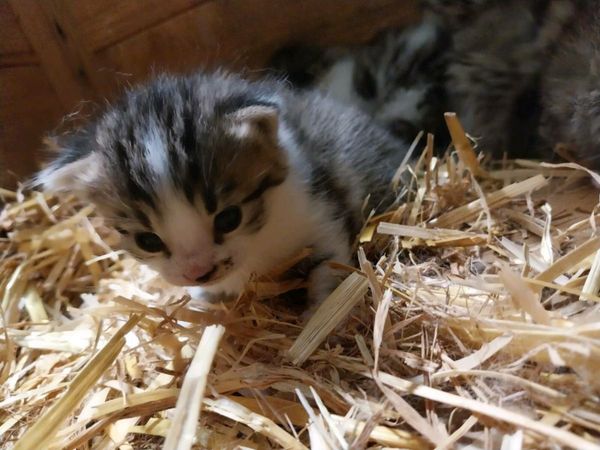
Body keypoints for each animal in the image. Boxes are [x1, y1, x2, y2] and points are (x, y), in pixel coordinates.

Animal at [35, 71, 408, 306]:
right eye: (148, 241)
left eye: (229, 219)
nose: (199, 272)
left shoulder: (320, 210)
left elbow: (328, 269)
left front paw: (318, 315)